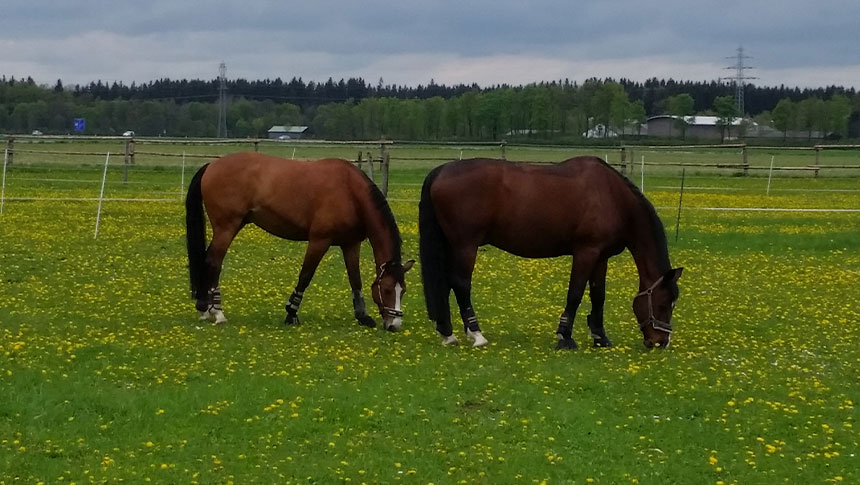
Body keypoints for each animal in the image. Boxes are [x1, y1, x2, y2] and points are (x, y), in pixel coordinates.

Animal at [184, 153, 414, 330]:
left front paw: (362, 316)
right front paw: (291, 313)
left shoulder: (350, 244)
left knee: (207, 260)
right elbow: (305, 276)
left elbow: (355, 279)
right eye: (387, 290)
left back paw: (206, 308)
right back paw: (217, 312)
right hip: (226, 228)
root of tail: (212, 165)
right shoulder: (319, 241)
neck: (350, 191)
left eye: (403, 290)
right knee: (214, 262)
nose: (394, 325)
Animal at [420, 157, 680, 350]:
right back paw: (476, 334)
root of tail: (442, 170)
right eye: (664, 303)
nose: (660, 342)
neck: (612, 196)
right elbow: (575, 293)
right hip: (466, 245)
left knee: (445, 285)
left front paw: (600, 337)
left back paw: (448, 334)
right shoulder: (586, 252)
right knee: (460, 284)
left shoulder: (601, 257)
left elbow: (598, 295)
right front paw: (565, 337)